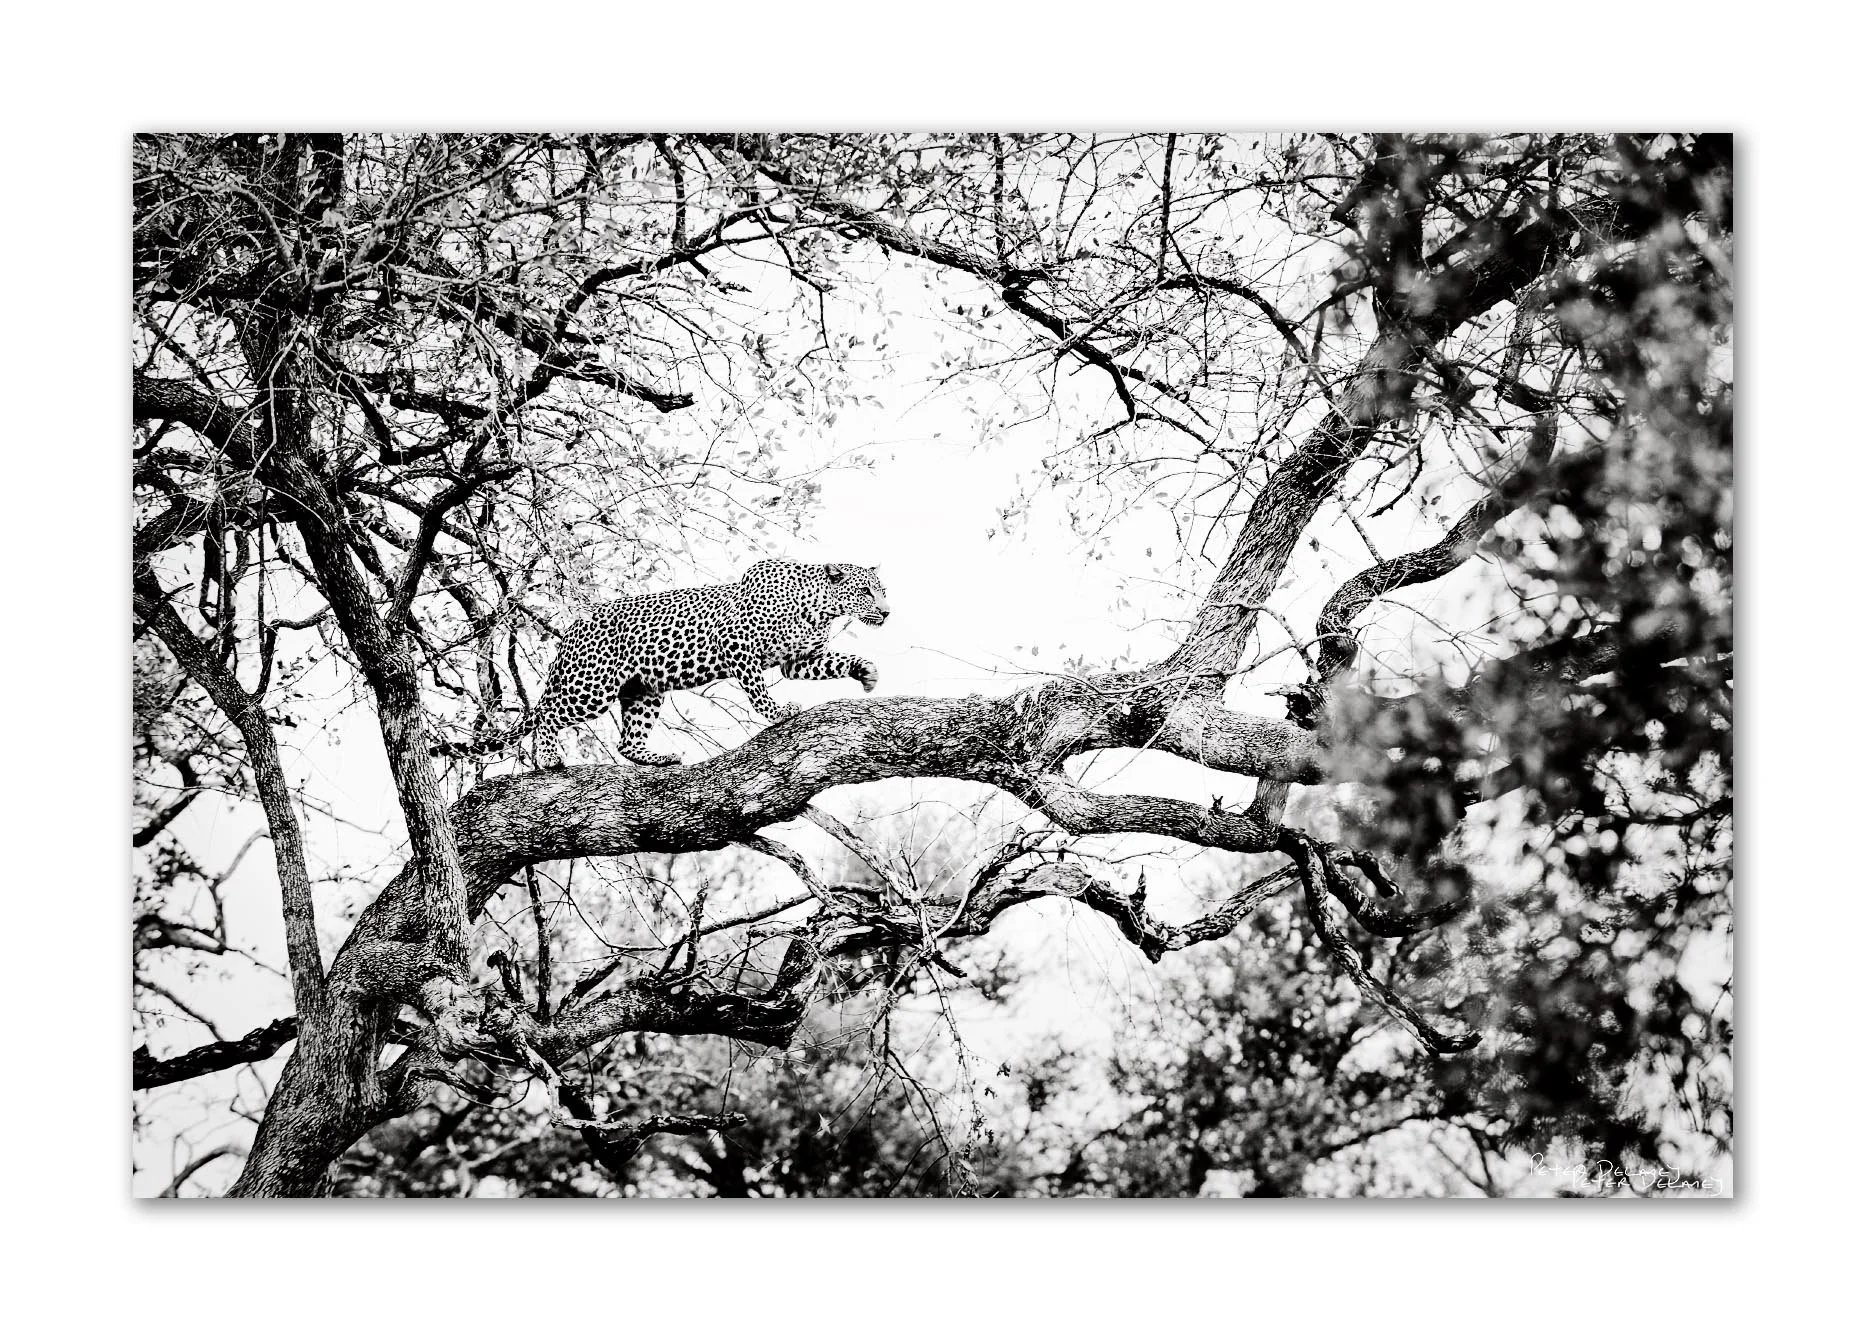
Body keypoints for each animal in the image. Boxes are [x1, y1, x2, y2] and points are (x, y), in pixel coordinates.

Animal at [432, 560, 890, 767]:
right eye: (866, 591)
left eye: (883, 591)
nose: (887, 613)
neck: (820, 609)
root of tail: (575, 626)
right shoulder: (737, 648)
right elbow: (758, 693)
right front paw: (780, 712)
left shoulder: (799, 659)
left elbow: (837, 661)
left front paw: (867, 673)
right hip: (591, 686)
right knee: (547, 714)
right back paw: (548, 757)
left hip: (644, 690)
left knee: (626, 742)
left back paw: (658, 758)